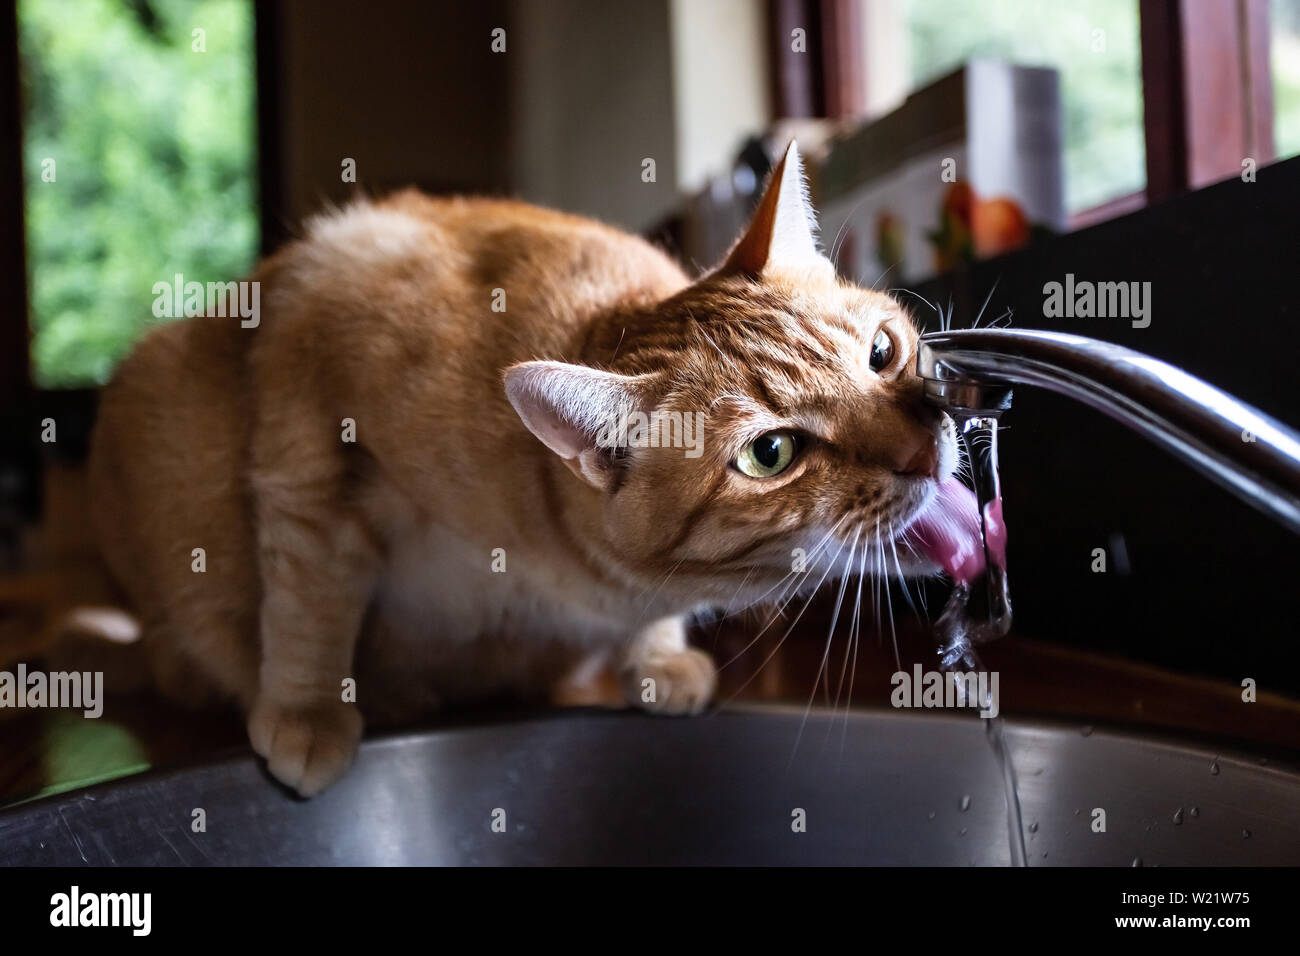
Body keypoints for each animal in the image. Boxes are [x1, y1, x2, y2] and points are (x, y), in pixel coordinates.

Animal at [89, 145, 956, 796]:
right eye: (770, 453)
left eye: (882, 352)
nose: (926, 446)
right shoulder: (315, 419)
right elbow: (310, 599)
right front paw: (309, 709)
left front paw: (657, 660)